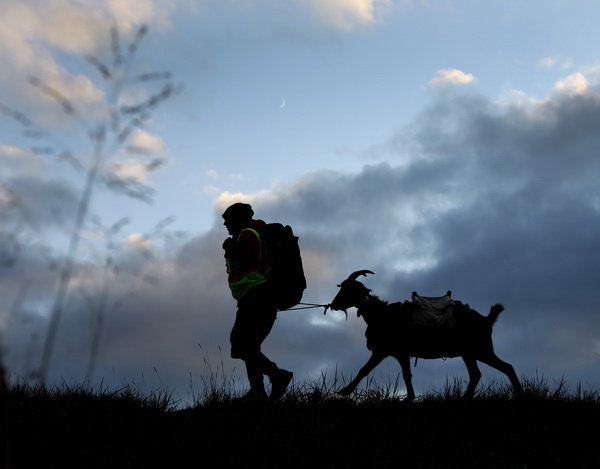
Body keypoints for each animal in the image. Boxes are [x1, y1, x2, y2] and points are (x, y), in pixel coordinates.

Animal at [328, 270, 524, 398]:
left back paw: (520, 394)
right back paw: (464, 399)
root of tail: (486, 319)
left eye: (349, 289)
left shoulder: (384, 351)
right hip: (469, 353)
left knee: (506, 367)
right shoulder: (400, 353)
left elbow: (365, 369)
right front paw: (410, 398)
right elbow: (406, 374)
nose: (334, 304)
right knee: (476, 374)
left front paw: (344, 391)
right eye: (341, 287)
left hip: (481, 349)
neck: (382, 314)